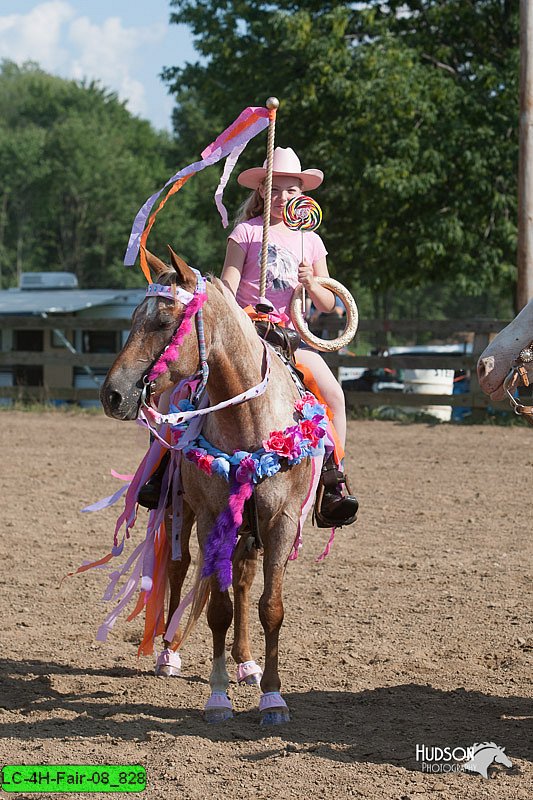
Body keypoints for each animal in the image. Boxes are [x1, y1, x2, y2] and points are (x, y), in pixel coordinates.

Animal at [102, 250, 322, 724]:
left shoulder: (280, 522)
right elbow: (218, 609)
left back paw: (246, 663)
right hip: (179, 509)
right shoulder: (211, 518)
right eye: (134, 317)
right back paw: (168, 653)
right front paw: (218, 697)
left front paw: (273, 698)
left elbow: (270, 607)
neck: (250, 419)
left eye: (164, 321)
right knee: (180, 568)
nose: (112, 395)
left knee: (242, 579)